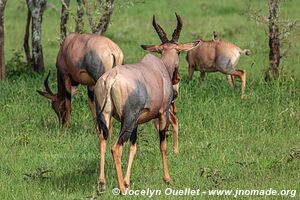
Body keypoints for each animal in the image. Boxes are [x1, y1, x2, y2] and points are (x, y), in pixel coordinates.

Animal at [94, 12, 199, 194]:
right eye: (179, 52)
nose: (177, 78)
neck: (159, 68)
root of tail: (111, 78)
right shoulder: (162, 113)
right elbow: (162, 144)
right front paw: (167, 178)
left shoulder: (137, 121)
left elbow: (133, 147)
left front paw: (128, 181)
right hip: (127, 120)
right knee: (116, 148)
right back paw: (121, 189)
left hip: (106, 117)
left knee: (103, 141)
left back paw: (102, 183)